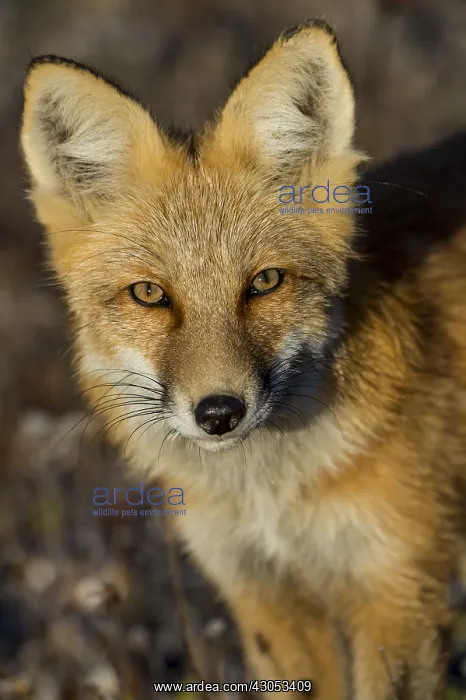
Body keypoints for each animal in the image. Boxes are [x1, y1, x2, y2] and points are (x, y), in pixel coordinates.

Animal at [19, 18, 466, 700]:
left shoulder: (398, 590)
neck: (270, 497)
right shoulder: (263, 596)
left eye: (265, 283)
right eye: (149, 294)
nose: (219, 412)